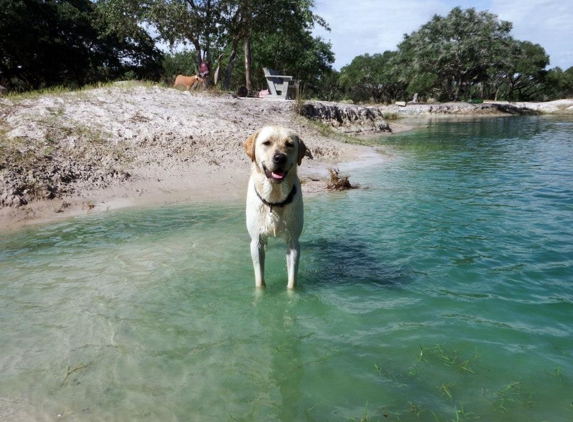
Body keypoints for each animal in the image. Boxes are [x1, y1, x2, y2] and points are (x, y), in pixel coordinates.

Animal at [245, 127, 310, 288]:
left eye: (290, 144)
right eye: (266, 143)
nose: (280, 158)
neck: (274, 199)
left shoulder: (293, 243)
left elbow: (292, 281)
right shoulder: (256, 242)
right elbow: (260, 280)